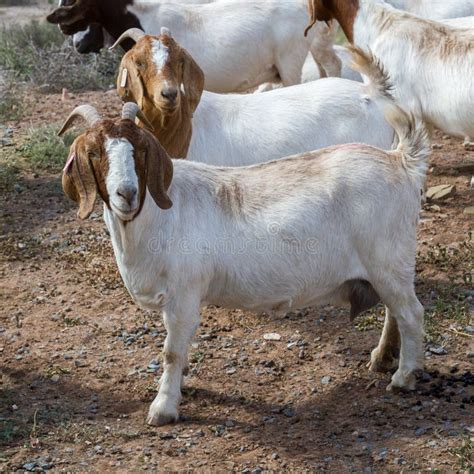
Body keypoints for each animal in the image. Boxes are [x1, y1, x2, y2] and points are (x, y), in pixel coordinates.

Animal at [58, 47, 430, 426]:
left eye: (140, 151)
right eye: (94, 152)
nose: (127, 193)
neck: (156, 218)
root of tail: (401, 161)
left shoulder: (184, 295)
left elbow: (171, 353)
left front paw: (163, 408)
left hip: (388, 259)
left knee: (411, 313)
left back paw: (404, 377)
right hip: (386, 267)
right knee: (395, 312)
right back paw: (382, 358)